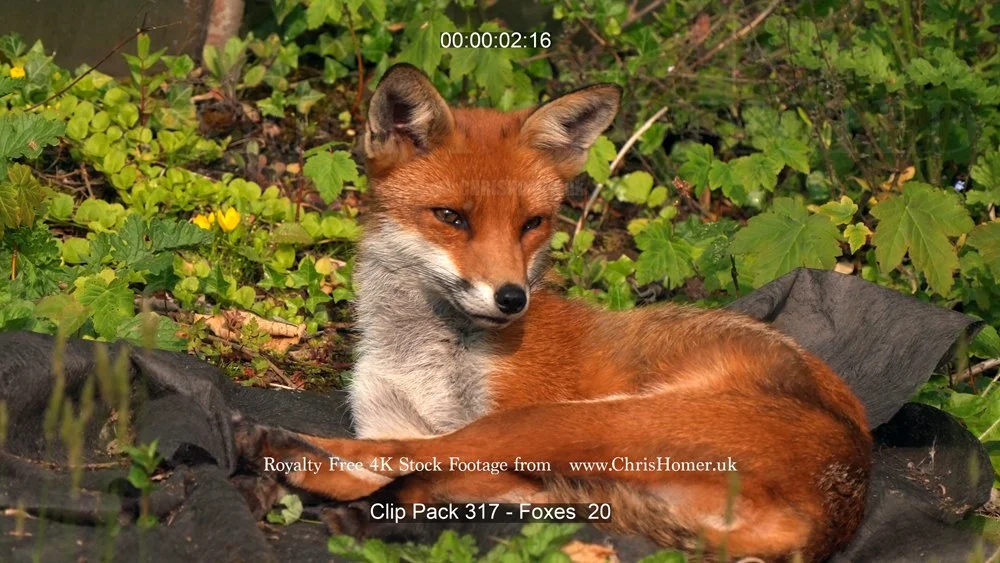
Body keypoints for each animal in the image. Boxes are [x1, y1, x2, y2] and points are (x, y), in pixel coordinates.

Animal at [237, 63, 872, 561]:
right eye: (451, 217)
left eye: (532, 224)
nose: (511, 297)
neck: (423, 357)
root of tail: (842, 504)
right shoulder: (392, 418)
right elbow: (390, 460)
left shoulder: (486, 432)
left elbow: (395, 459)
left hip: (562, 423)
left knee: (406, 466)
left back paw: (277, 455)